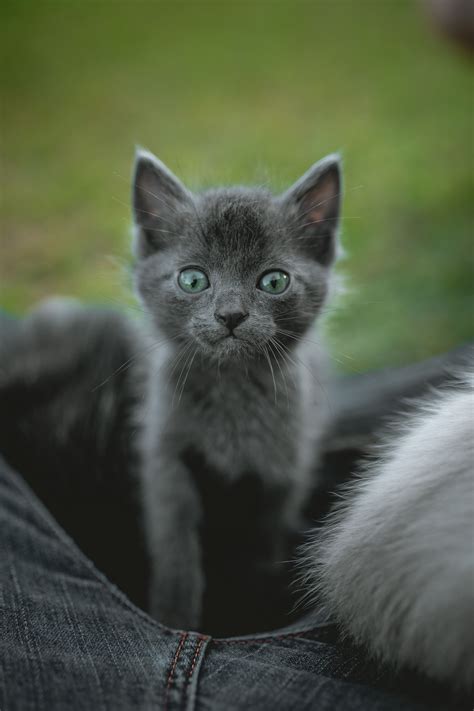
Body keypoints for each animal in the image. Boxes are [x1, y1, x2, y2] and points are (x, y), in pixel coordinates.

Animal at [133, 149, 340, 628]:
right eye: (192, 280)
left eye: (274, 281)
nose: (230, 315)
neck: (230, 385)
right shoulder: (166, 452)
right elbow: (174, 539)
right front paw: (174, 613)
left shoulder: (282, 465)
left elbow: (263, 539)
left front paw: (251, 601)